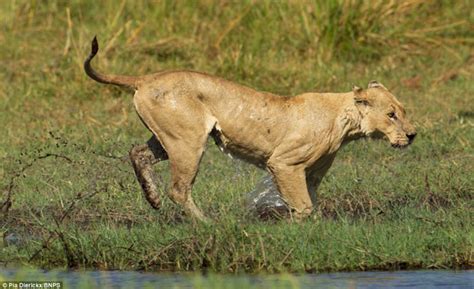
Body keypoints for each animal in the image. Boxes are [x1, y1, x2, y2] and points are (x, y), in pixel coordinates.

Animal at [84, 36, 414, 220]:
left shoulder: (313, 172)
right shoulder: (284, 163)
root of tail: (145, 78)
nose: (412, 135)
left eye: (403, 111)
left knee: (137, 153)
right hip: (188, 141)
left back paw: (152, 199)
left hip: (169, 137)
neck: (345, 120)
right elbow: (303, 205)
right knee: (178, 189)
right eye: (391, 114)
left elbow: (311, 201)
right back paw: (207, 224)